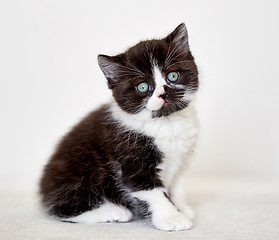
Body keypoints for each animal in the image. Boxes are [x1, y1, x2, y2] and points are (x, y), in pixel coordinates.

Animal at [39, 23, 200, 231]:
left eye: (172, 76)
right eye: (143, 87)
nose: (163, 94)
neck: (167, 122)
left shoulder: (182, 160)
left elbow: (178, 185)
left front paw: (181, 208)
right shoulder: (130, 157)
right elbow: (152, 191)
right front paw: (171, 217)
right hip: (82, 168)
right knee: (62, 208)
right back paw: (114, 211)